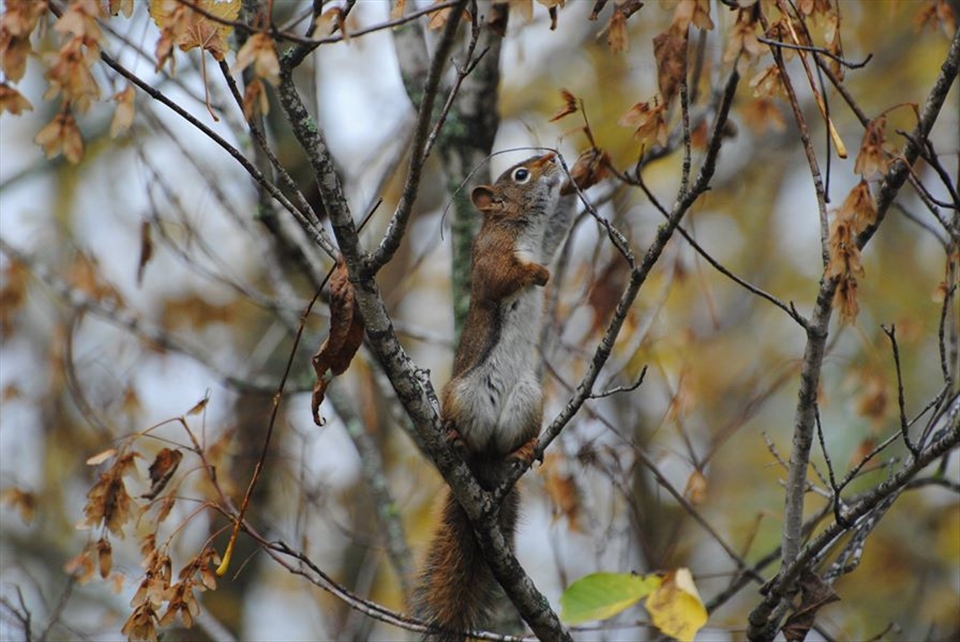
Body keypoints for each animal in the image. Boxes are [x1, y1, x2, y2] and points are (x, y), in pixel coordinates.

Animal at [415, 152, 576, 641]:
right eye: (520, 175)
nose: (554, 157)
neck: (522, 228)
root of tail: (484, 467)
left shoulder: (550, 238)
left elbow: (563, 222)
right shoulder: (489, 258)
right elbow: (504, 278)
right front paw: (536, 274)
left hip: (527, 399)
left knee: (508, 445)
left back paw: (523, 449)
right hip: (463, 395)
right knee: (464, 434)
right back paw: (456, 438)